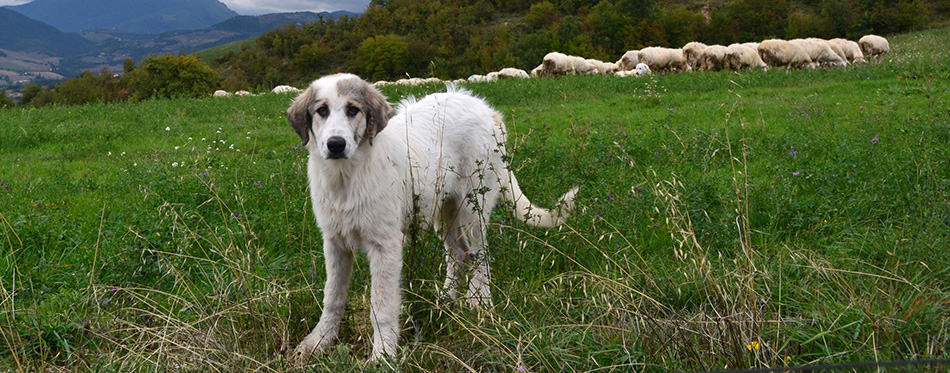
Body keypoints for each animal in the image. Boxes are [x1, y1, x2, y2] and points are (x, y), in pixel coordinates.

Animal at [286, 72, 576, 360]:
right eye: (322, 111)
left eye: (352, 110)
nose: (336, 145)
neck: (347, 177)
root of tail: (486, 109)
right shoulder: (335, 243)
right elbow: (332, 297)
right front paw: (319, 341)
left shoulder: (385, 245)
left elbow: (382, 306)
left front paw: (383, 354)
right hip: (444, 210)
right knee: (459, 253)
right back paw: (445, 299)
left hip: (474, 206)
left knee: (481, 254)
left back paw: (478, 300)